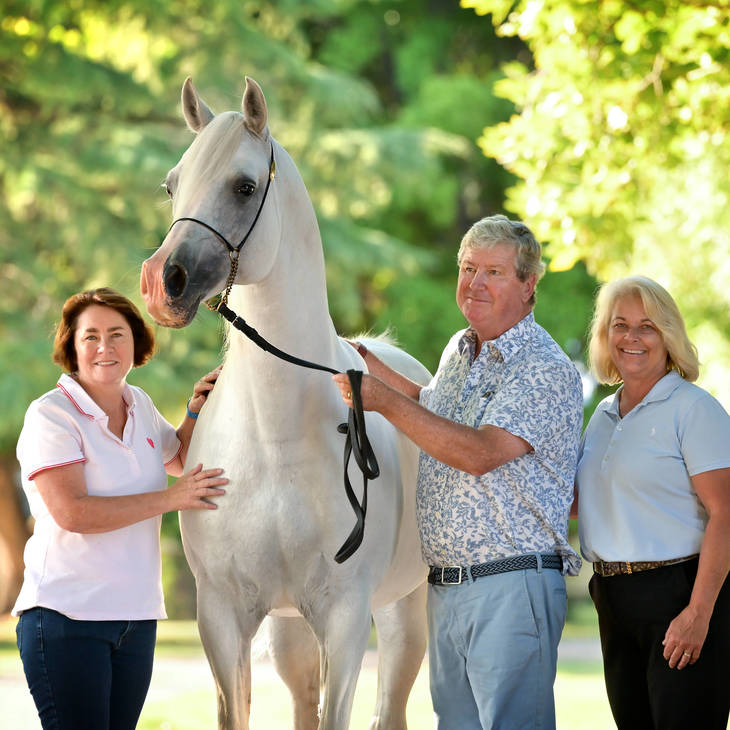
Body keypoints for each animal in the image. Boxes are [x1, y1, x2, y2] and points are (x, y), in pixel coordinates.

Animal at [140, 75, 431, 730]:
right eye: (171, 184)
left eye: (244, 186)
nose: (162, 283)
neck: (274, 439)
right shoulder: (223, 617)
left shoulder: (346, 622)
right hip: (289, 630)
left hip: (404, 612)